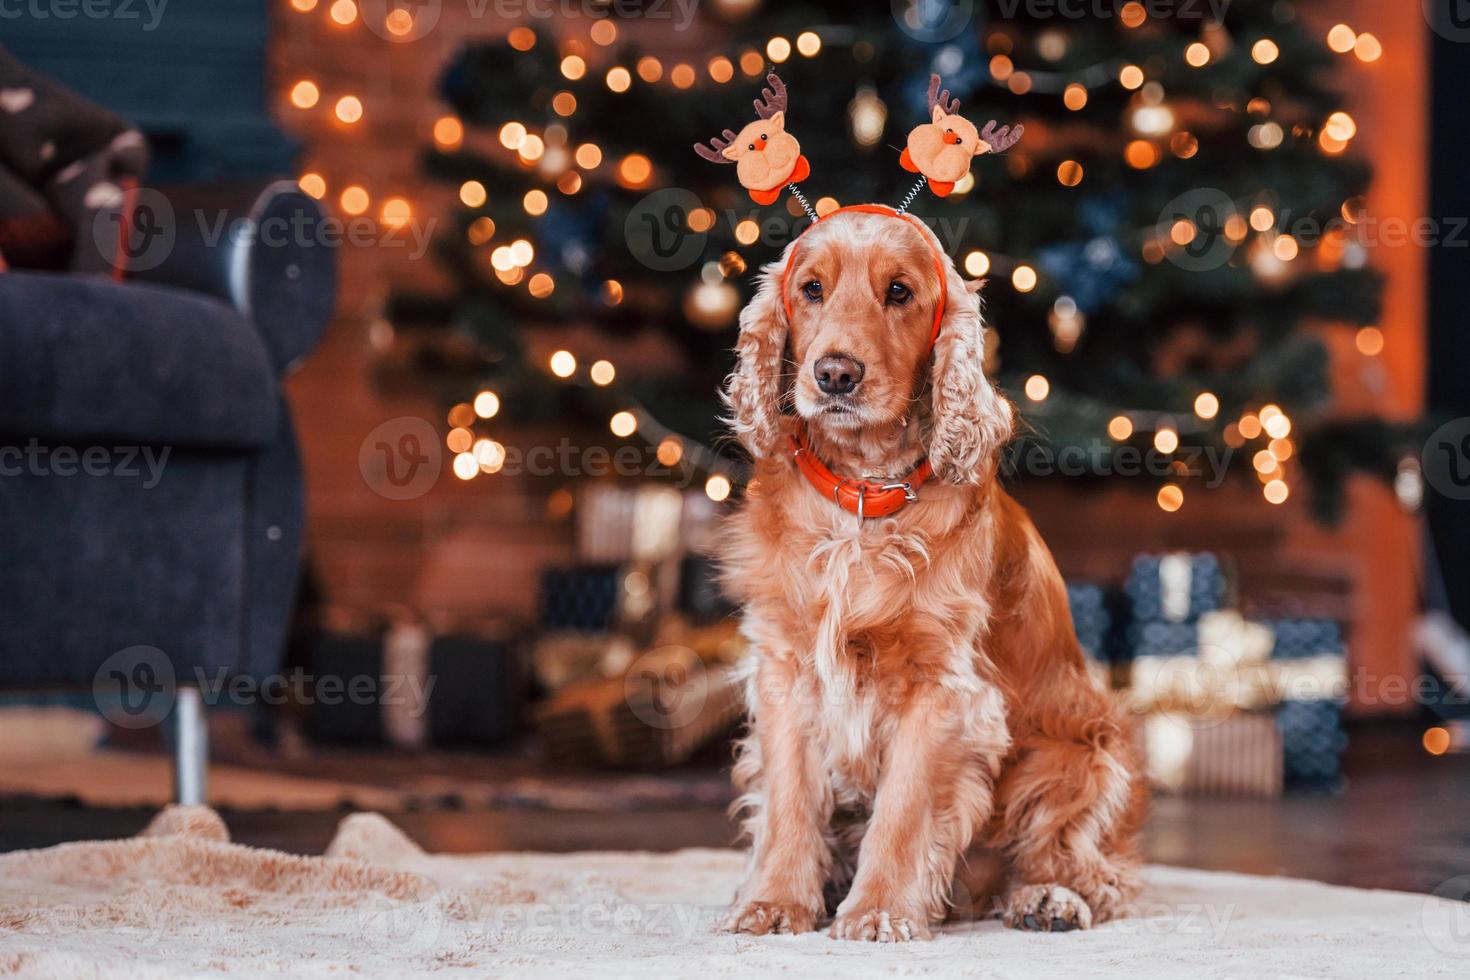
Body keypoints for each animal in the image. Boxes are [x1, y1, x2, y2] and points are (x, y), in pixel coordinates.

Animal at [717, 207, 1140, 940]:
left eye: (900, 292)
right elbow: (790, 798)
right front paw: (773, 903)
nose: (835, 374)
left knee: (1083, 866)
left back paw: (1046, 900)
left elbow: (905, 806)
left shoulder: (943, 688)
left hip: (1080, 757)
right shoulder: (784, 669)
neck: (863, 498)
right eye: (810, 288)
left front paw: (881, 910)